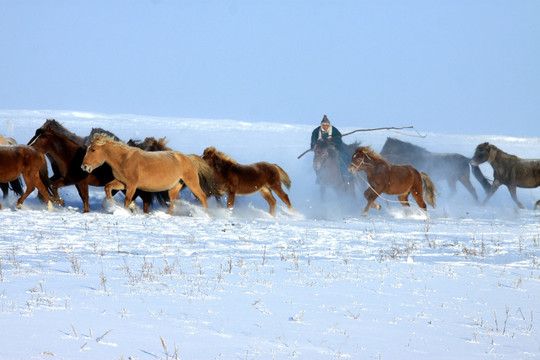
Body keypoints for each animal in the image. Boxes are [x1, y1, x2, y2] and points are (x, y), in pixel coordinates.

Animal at [81, 134, 210, 214]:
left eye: (93, 150)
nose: (84, 166)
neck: (124, 159)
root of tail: (188, 158)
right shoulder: (122, 183)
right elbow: (107, 187)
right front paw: (112, 203)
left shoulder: (132, 185)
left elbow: (127, 199)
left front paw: (125, 210)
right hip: (174, 188)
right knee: (174, 201)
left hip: (192, 182)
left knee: (202, 196)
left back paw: (205, 214)